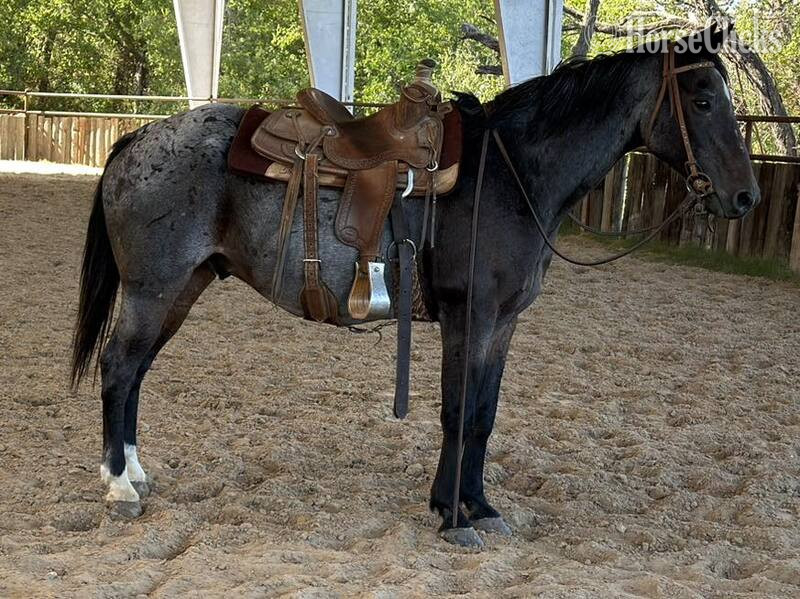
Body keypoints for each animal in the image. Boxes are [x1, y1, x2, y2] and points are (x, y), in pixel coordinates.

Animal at [71, 25, 758, 547]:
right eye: (702, 101)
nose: (745, 197)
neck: (511, 173)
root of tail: (139, 138)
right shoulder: (468, 317)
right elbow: (458, 412)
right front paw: (452, 517)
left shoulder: (502, 323)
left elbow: (483, 414)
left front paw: (479, 506)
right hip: (153, 289)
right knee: (118, 367)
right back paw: (119, 488)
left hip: (181, 288)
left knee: (135, 372)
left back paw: (135, 473)